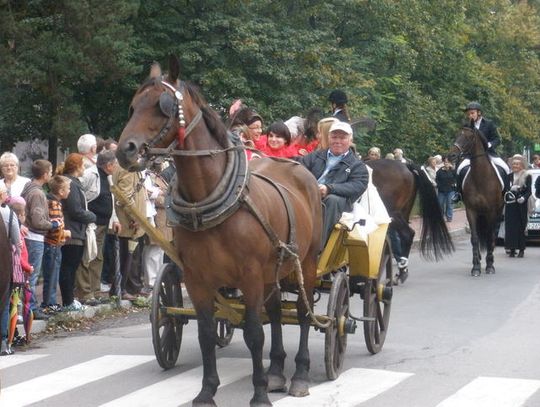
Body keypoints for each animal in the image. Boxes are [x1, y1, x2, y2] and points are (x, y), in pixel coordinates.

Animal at [116, 57, 320, 407]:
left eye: (162, 106)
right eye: (132, 106)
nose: (123, 151)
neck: (210, 202)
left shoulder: (250, 276)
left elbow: (254, 333)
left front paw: (259, 394)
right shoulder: (198, 278)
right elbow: (207, 333)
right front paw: (207, 391)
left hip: (304, 262)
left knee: (304, 314)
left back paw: (300, 375)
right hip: (274, 270)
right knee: (277, 313)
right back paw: (277, 371)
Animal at [448, 126, 502, 276]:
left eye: (469, 137)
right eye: (457, 135)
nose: (451, 156)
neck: (480, 177)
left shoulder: (491, 212)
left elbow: (489, 237)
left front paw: (489, 266)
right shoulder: (471, 211)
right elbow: (475, 238)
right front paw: (476, 266)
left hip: (498, 211)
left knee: (493, 235)